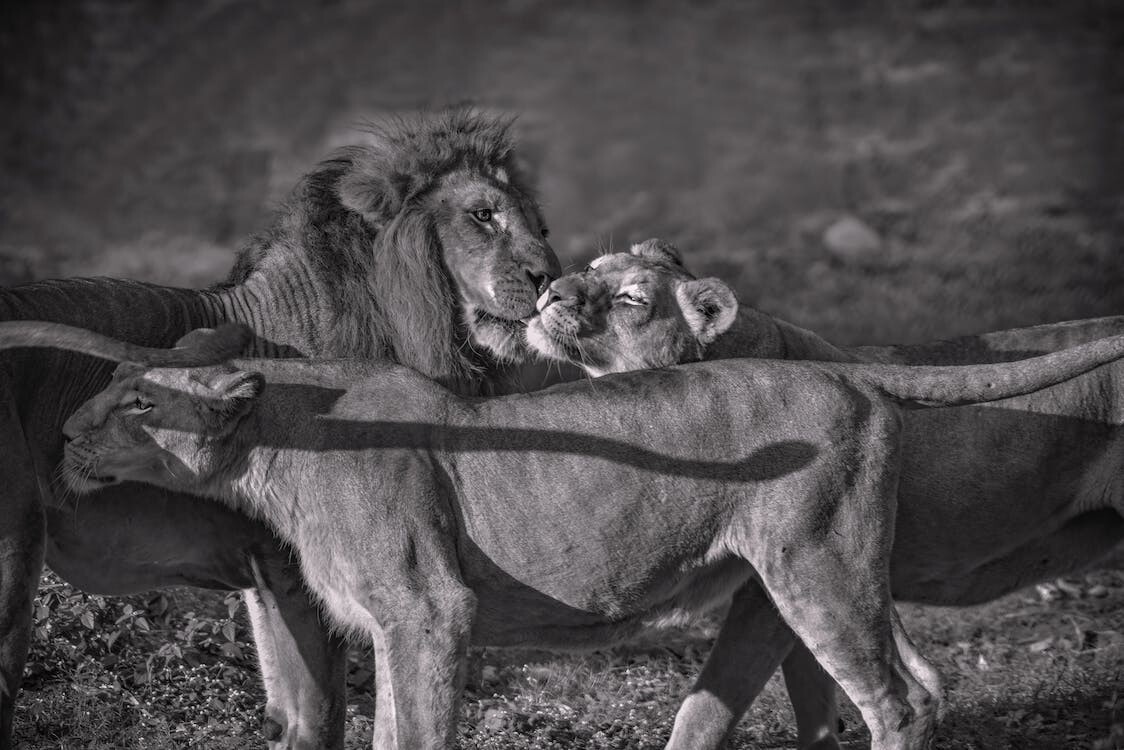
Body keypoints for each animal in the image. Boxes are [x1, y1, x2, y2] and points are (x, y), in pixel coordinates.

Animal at [0, 109, 558, 750]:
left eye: (540, 224)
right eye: (482, 214)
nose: (551, 279)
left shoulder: (263, 576)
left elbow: (287, 712)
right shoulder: (291, 571)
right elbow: (319, 716)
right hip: (16, 547)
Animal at [53, 323, 1124, 749]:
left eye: (135, 402)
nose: (62, 435)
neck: (283, 435)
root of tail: (846, 368)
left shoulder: (430, 610)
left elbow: (419, 733)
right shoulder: (392, 626)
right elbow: (391, 728)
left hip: (822, 568)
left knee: (899, 701)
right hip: (791, 581)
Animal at [528, 238, 1124, 750]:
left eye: (631, 299)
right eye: (592, 267)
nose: (549, 290)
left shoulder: (769, 591)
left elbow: (709, 705)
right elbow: (813, 697)